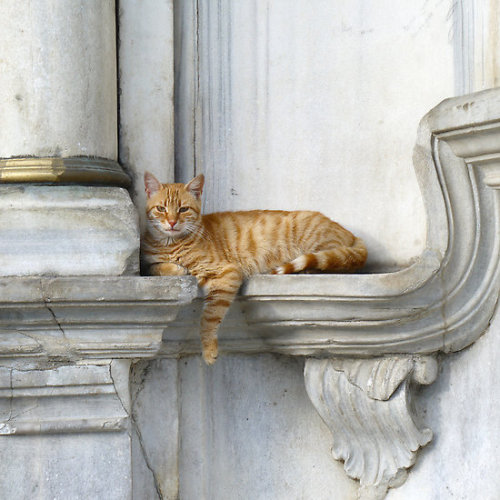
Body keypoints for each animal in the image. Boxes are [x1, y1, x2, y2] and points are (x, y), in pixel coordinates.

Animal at [141, 172, 368, 364]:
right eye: (161, 209)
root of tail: (350, 233)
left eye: (183, 209)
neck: (170, 244)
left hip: (319, 244)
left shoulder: (226, 273)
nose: (172, 222)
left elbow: (209, 318)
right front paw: (174, 268)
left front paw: (209, 349)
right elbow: (155, 267)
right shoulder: (151, 263)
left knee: (343, 263)